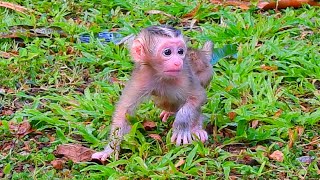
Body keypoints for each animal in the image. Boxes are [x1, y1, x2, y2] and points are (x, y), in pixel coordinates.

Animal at [92, 25, 212, 160]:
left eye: (180, 51)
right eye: (167, 52)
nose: (178, 62)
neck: (160, 74)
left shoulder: (185, 75)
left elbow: (198, 97)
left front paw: (182, 124)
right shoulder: (141, 76)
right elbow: (124, 112)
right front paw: (110, 149)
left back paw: (196, 128)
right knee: (164, 101)